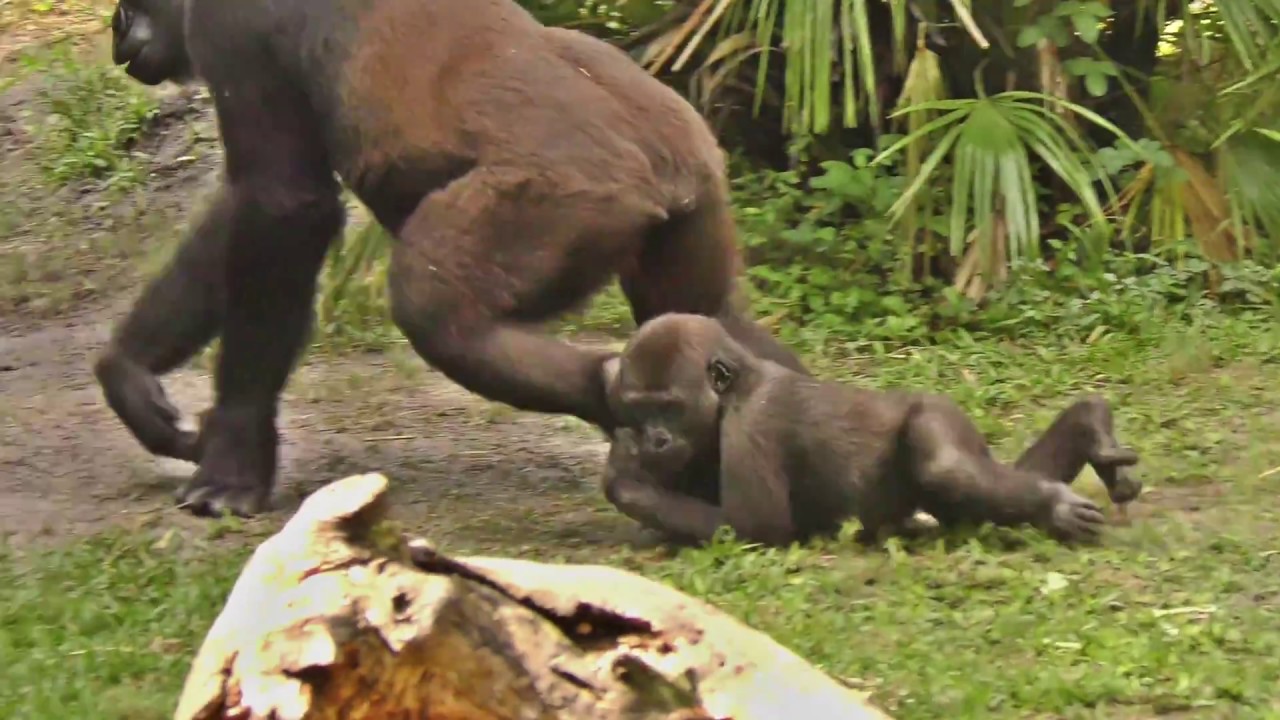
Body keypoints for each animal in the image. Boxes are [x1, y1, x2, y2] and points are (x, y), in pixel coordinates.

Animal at [604, 312, 1146, 543]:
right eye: (640, 410)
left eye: (670, 408)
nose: (654, 438)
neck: (736, 385)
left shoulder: (750, 424)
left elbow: (758, 528)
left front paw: (625, 484)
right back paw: (1089, 430)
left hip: (941, 414)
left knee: (945, 465)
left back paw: (1053, 496)